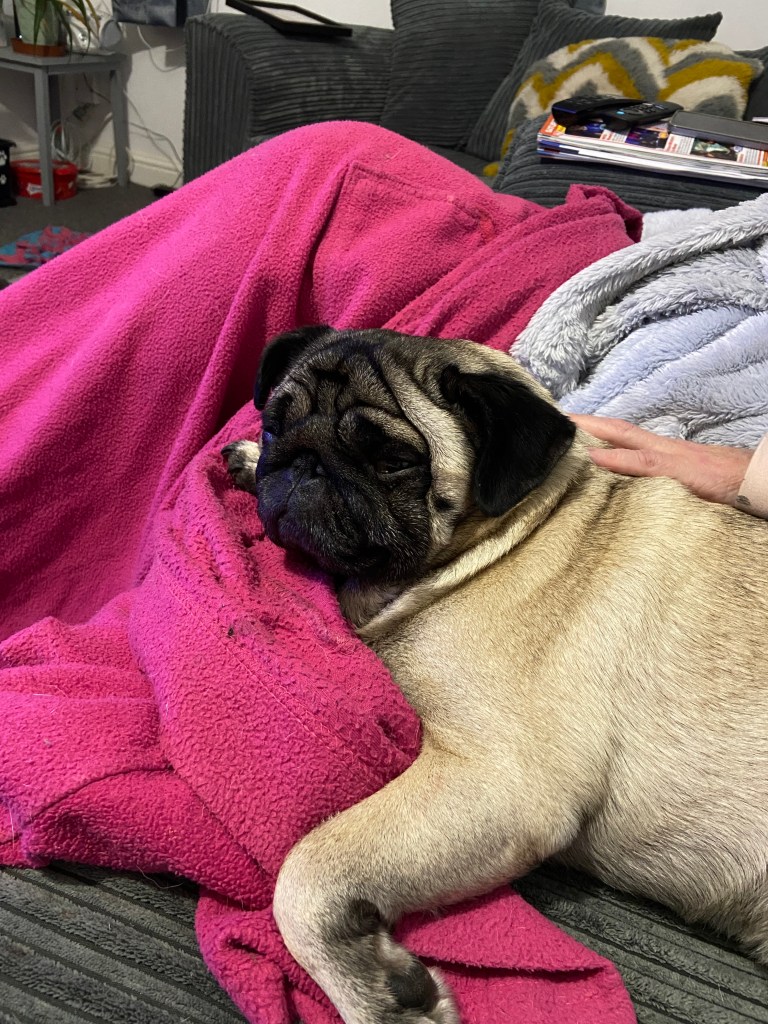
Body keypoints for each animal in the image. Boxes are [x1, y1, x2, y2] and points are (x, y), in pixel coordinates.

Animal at [223, 325, 768, 1024]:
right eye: (274, 428)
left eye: (392, 460)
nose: (303, 461)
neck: (524, 528)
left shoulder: (500, 782)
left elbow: (305, 872)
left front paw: (382, 997)